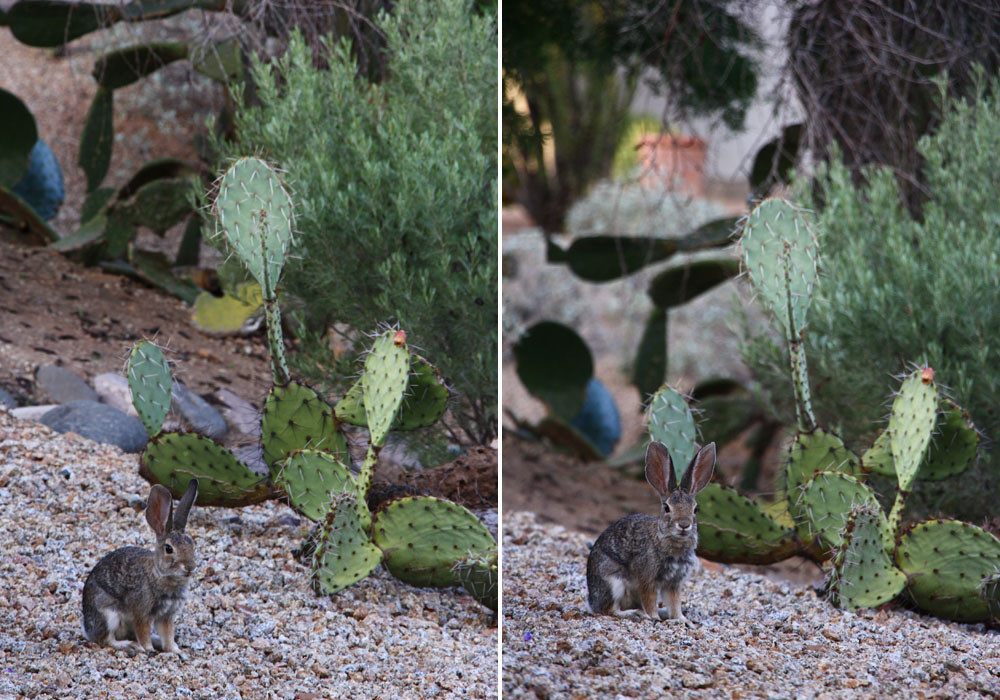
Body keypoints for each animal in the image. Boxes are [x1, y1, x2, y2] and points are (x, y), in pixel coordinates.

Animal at [83, 478, 200, 652]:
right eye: (169, 549)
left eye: (192, 544)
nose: (190, 567)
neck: (162, 576)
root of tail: (86, 628)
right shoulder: (142, 613)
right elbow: (143, 632)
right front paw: (148, 649)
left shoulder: (166, 617)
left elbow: (168, 634)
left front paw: (174, 651)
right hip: (108, 614)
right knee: (106, 640)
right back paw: (129, 645)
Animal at [584, 442, 720, 624]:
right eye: (667, 508)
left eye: (695, 509)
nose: (684, 525)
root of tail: (592, 601)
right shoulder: (647, 578)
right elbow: (649, 599)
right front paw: (653, 617)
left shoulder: (673, 583)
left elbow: (674, 602)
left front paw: (681, 619)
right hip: (613, 581)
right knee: (608, 609)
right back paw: (635, 614)